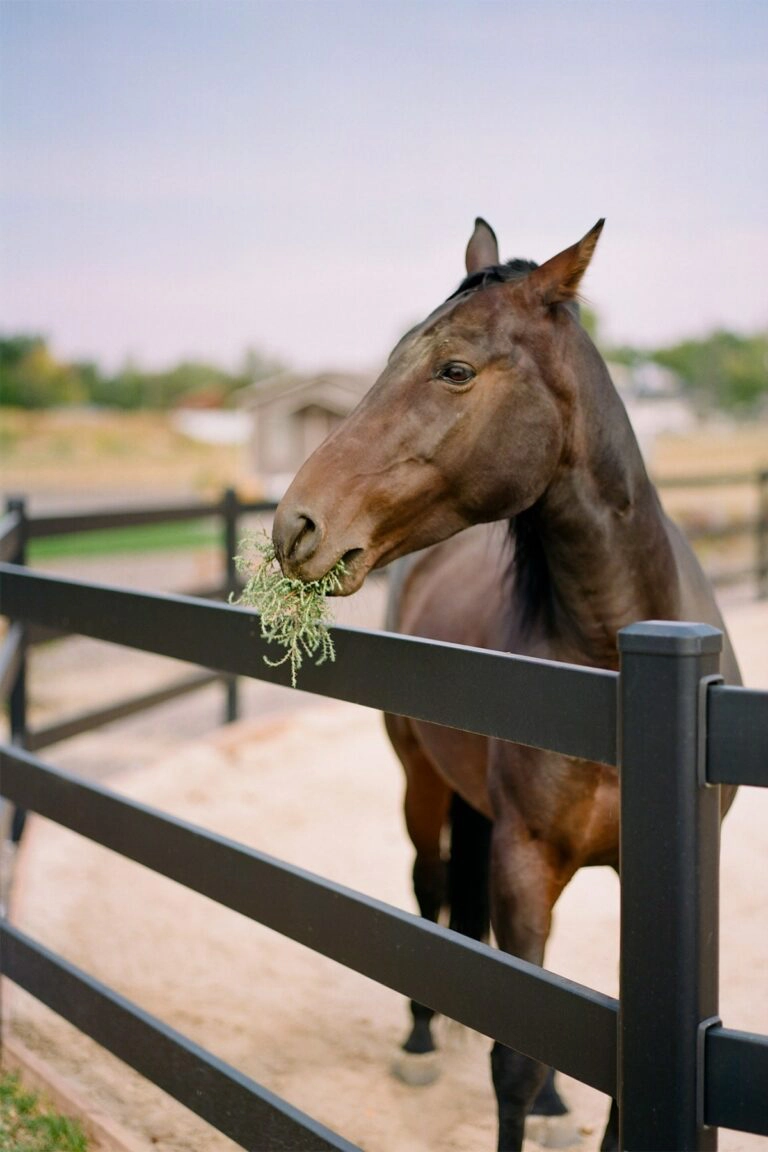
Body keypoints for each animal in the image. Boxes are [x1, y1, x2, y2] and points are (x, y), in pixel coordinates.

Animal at [272, 218, 740, 1151]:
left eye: (455, 370)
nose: (295, 525)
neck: (612, 666)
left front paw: (565, 1099)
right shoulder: (525, 861)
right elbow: (512, 1060)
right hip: (420, 781)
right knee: (427, 887)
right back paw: (421, 1039)